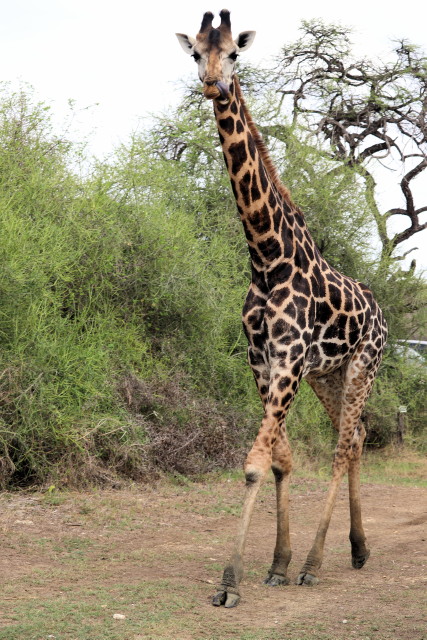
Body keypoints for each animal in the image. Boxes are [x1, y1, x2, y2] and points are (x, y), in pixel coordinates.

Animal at [176, 10, 388, 608]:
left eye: (236, 54)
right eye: (195, 52)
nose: (214, 84)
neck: (266, 257)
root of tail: (382, 314)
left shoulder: (288, 359)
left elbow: (253, 464)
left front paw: (231, 581)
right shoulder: (263, 359)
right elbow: (279, 459)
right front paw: (275, 563)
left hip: (363, 366)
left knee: (342, 446)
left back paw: (317, 563)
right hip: (329, 375)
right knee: (356, 437)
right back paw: (357, 549)